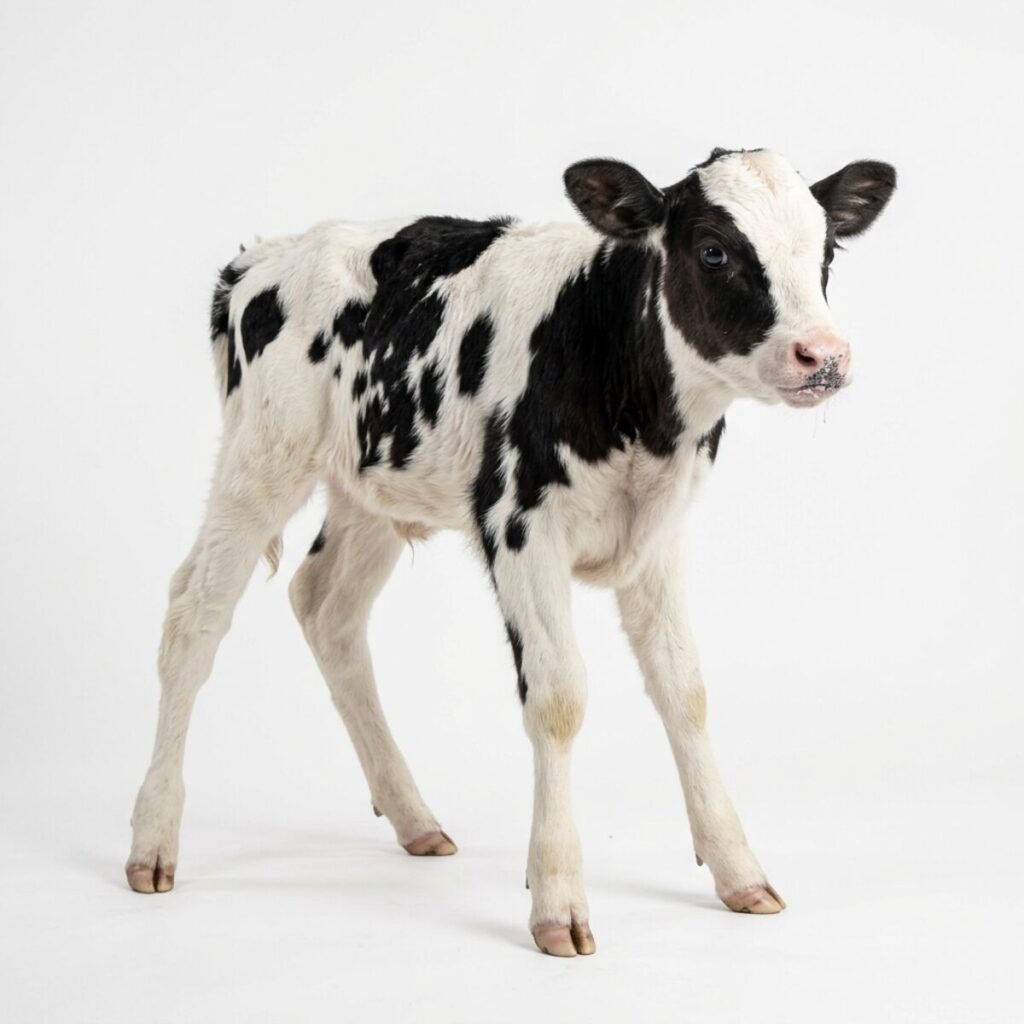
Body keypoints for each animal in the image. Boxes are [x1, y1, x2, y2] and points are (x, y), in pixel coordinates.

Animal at [125, 147, 896, 957]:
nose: (824, 356)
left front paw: (738, 870)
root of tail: (263, 256)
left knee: (325, 605)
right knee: (193, 615)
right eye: (713, 250)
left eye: (827, 250)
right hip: (262, 457)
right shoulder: (519, 523)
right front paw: (557, 900)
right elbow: (558, 698)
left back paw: (414, 818)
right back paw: (153, 840)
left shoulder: (659, 536)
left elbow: (685, 691)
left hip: (373, 480)